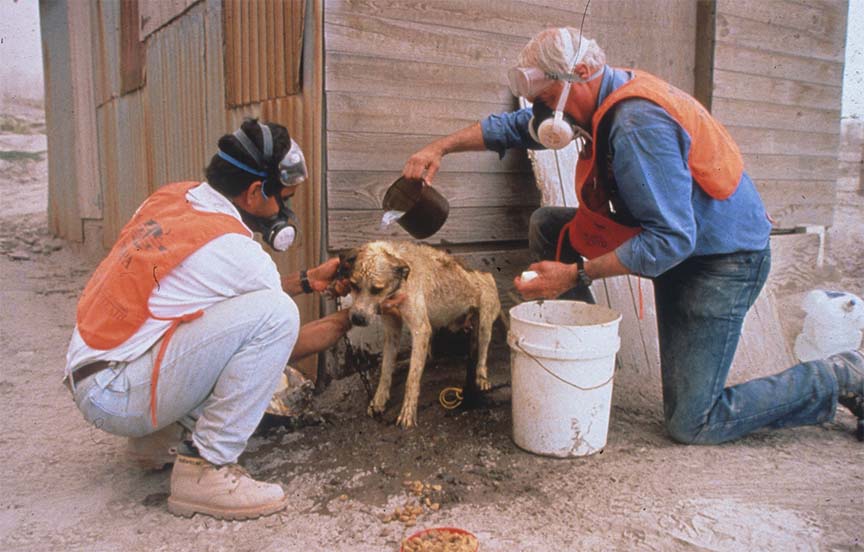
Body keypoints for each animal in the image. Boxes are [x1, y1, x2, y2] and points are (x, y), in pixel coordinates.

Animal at [340, 240, 500, 426]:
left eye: (377, 290)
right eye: (353, 285)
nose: (357, 319)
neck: (400, 285)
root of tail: (486, 274)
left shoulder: (420, 329)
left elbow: (412, 378)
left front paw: (408, 412)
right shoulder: (392, 330)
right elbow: (386, 369)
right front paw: (379, 401)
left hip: (484, 327)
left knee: (482, 355)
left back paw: (481, 378)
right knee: (428, 356)